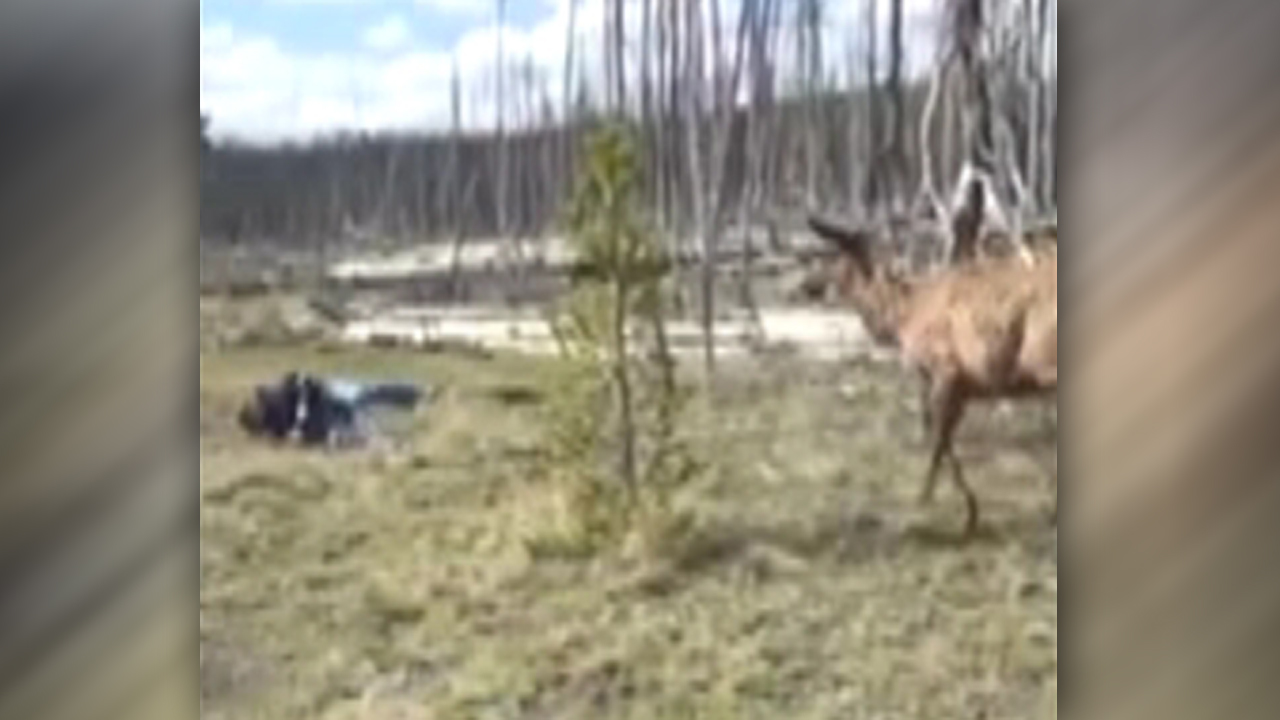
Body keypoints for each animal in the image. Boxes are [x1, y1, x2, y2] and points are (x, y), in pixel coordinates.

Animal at [808, 212, 1059, 532]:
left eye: (838, 261)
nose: (811, 288)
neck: (903, 315)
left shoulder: (945, 369)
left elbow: (938, 440)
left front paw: (931, 502)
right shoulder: (963, 386)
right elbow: (944, 439)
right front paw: (968, 510)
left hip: (1049, 362)